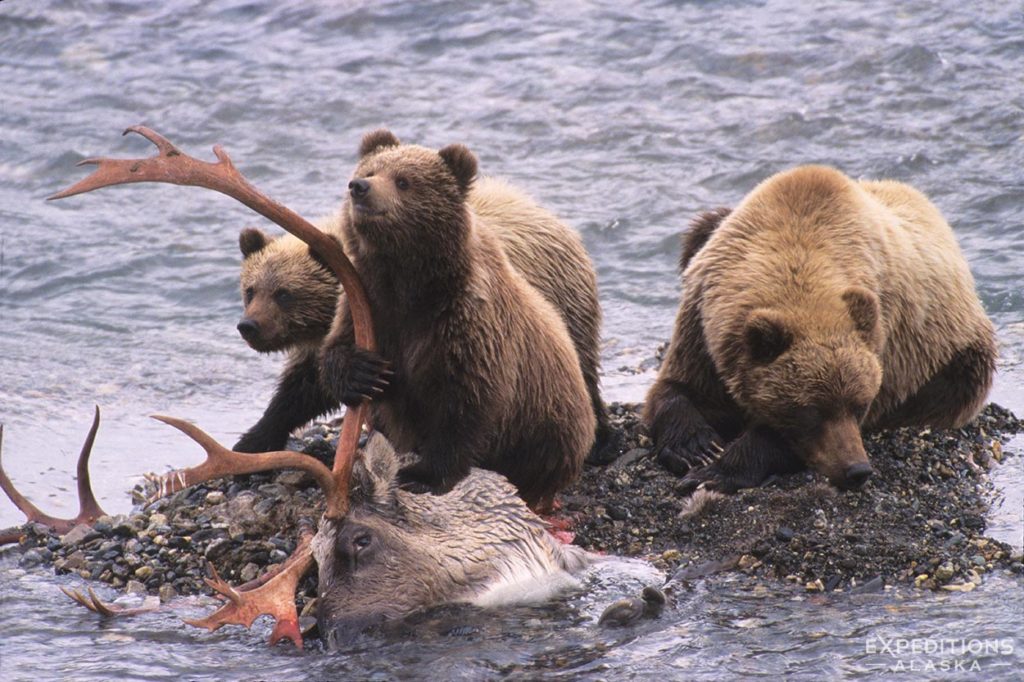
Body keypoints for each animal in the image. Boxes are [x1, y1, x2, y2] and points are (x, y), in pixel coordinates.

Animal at [231, 178, 606, 458]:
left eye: (284, 294)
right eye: (250, 290)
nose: (249, 326)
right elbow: (304, 386)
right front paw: (253, 439)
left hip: (560, 308)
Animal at [317, 129, 593, 509]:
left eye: (404, 181)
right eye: (371, 169)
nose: (359, 187)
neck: (411, 282)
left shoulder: (467, 323)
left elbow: (464, 402)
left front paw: (424, 473)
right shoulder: (370, 303)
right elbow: (339, 347)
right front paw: (364, 371)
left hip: (548, 423)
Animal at [643, 165, 995, 493]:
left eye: (859, 405)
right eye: (812, 410)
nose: (857, 470)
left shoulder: (884, 335)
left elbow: (779, 436)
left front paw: (715, 471)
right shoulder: (702, 320)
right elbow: (678, 387)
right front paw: (695, 447)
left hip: (955, 351)